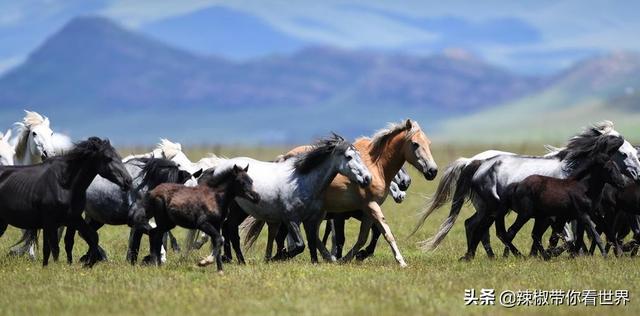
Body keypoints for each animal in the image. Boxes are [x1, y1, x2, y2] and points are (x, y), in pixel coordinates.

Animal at [62, 157, 199, 264]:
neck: (146, 184)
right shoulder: (136, 218)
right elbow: (150, 235)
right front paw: (151, 259)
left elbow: (137, 242)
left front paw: (133, 262)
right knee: (76, 236)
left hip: (96, 218)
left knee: (85, 234)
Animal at [416, 119, 640, 260]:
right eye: (623, 153)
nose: (637, 173)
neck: (571, 171)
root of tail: (476, 163)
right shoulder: (561, 214)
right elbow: (566, 236)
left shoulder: (566, 214)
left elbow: (575, 234)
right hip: (493, 208)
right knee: (485, 229)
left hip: (489, 208)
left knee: (475, 226)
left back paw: (483, 255)